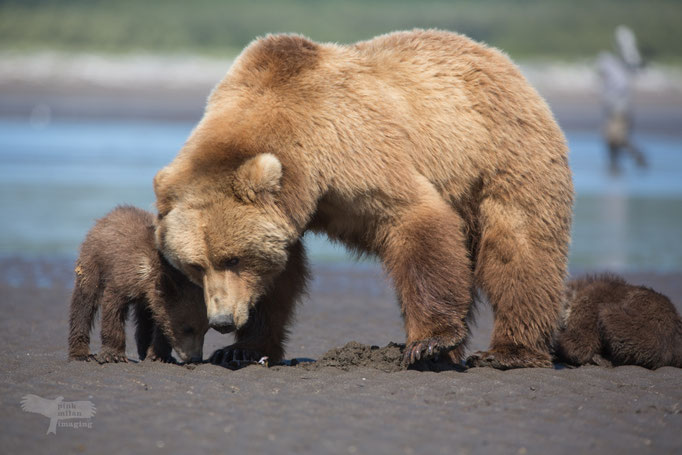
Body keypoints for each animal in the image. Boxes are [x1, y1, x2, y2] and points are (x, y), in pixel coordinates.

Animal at [69, 206, 209, 364]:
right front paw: (113, 355)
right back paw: (80, 353)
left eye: (205, 330)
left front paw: (159, 355)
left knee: (144, 319)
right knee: (85, 300)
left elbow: (161, 321)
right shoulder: (126, 275)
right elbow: (113, 307)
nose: (196, 358)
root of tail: (105, 217)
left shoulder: (157, 293)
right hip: (93, 261)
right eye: (187, 328)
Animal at [155, 29, 572, 370]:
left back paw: (510, 351)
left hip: (504, 155)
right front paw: (242, 348)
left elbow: (413, 216)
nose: (222, 322)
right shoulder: (292, 209)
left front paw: (428, 342)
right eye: (195, 266)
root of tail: (501, 60)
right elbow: (278, 275)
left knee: (519, 248)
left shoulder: (352, 146)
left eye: (233, 258)